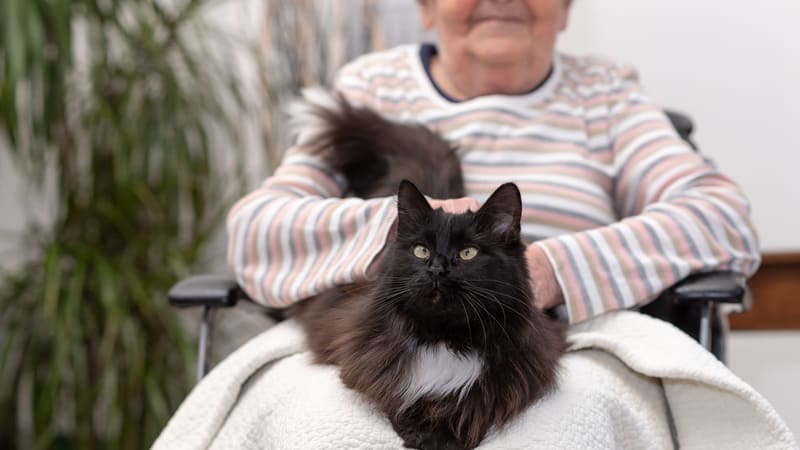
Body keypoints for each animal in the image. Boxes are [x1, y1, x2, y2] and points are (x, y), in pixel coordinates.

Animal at [288, 89, 564, 450]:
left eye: (467, 253)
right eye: (422, 251)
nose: (436, 269)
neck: (444, 340)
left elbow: (472, 406)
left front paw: (443, 433)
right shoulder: (364, 359)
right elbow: (398, 400)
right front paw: (418, 431)